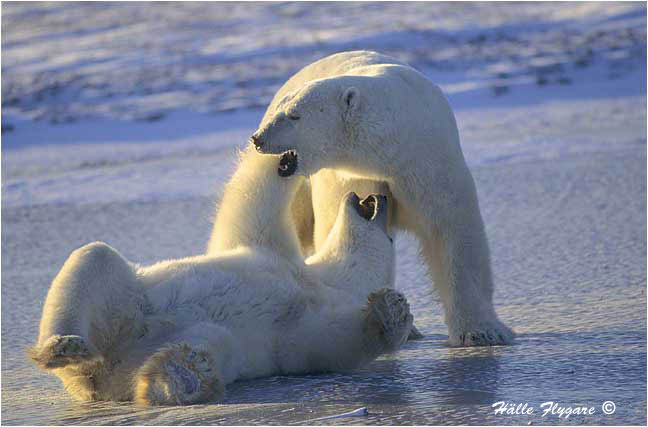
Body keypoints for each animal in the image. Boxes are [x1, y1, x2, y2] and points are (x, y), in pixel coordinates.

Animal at [28, 148, 412, 405]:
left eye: (392, 236)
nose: (379, 197)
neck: (318, 280)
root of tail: (101, 376)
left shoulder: (303, 324)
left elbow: (331, 343)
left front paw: (393, 312)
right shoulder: (267, 252)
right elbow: (251, 207)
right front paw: (285, 160)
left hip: (147, 349)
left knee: (212, 343)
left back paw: (181, 377)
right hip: (127, 303)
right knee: (94, 258)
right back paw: (63, 345)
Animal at [249, 50, 513, 346]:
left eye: (294, 116)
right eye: (280, 111)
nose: (258, 138)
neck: (389, 149)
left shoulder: (428, 163)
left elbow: (453, 231)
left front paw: (481, 331)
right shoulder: (351, 176)